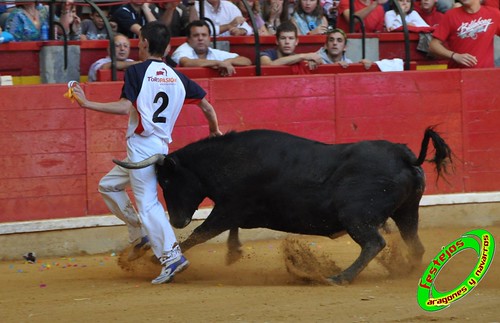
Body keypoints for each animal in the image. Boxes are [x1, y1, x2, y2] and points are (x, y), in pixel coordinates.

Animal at [114, 128, 454, 284]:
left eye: (166, 181)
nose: (177, 220)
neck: (230, 161)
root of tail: (405, 155)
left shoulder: (227, 208)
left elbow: (200, 234)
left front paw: (153, 259)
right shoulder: (234, 212)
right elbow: (226, 232)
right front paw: (233, 253)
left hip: (355, 216)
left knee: (374, 243)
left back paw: (340, 277)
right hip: (408, 212)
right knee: (415, 243)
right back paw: (406, 270)